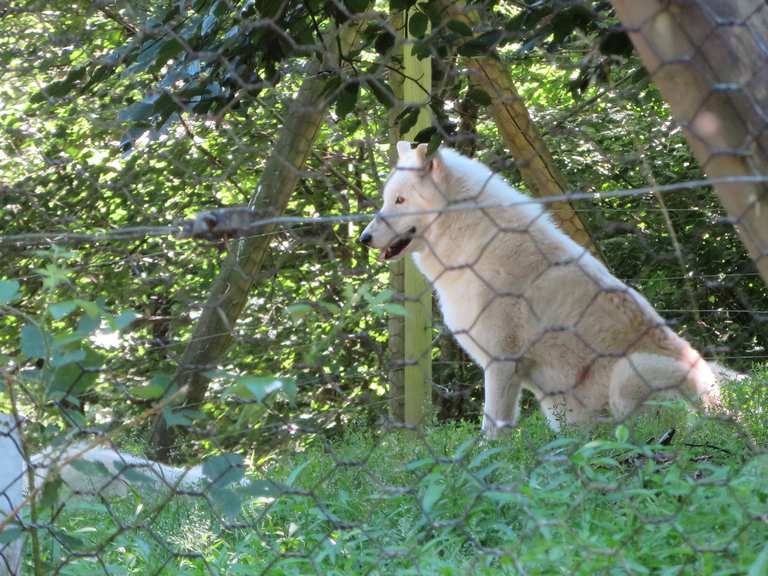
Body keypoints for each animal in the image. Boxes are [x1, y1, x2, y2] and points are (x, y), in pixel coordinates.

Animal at [359, 142, 721, 437]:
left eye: (400, 200)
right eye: (387, 200)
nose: (363, 238)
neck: (472, 241)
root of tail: (723, 412)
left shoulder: (501, 364)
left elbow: (492, 429)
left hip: (628, 373)